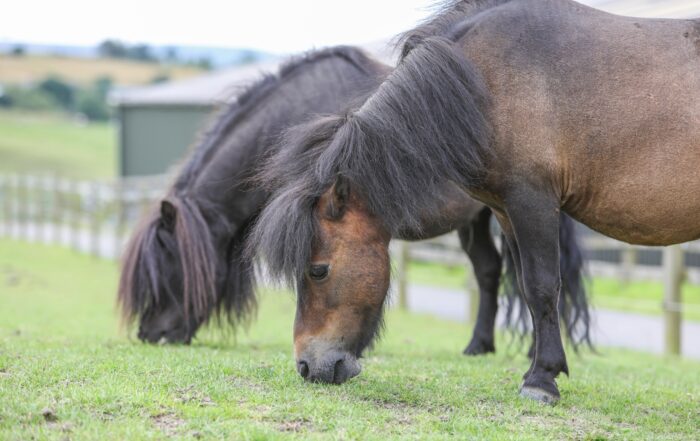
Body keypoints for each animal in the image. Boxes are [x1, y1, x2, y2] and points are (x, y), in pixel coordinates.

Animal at [249, 0, 700, 404]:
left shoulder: (532, 202)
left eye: (318, 270)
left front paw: (541, 379)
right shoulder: (506, 211)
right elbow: (524, 285)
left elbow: (541, 287)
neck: (484, 79)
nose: (307, 366)